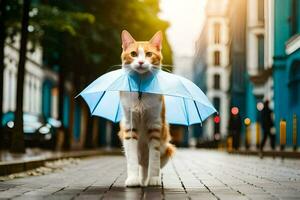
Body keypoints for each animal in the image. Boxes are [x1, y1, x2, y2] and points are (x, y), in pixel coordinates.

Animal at [118, 30, 175, 188]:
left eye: (149, 54)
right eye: (133, 54)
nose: (141, 62)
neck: (141, 88)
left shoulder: (155, 125)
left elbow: (154, 158)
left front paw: (154, 179)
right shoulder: (130, 127)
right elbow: (132, 160)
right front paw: (133, 179)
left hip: (167, 148)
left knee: (147, 164)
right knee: (141, 164)